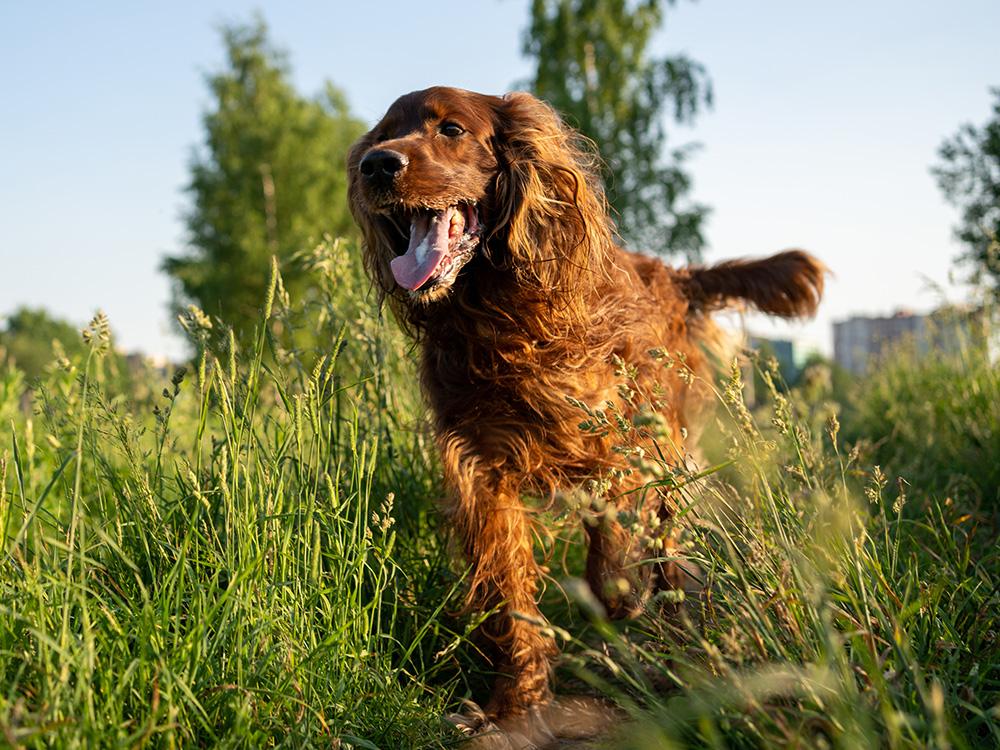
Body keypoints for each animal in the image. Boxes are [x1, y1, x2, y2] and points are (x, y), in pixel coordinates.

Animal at [348, 88, 824, 740]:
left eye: (451, 129)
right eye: (381, 135)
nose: (377, 166)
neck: (502, 320)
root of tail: (673, 274)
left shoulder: (628, 444)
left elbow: (614, 549)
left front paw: (621, 596)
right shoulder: (482, 467)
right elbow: (510, 595)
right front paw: (513, 708)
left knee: (668, 540)